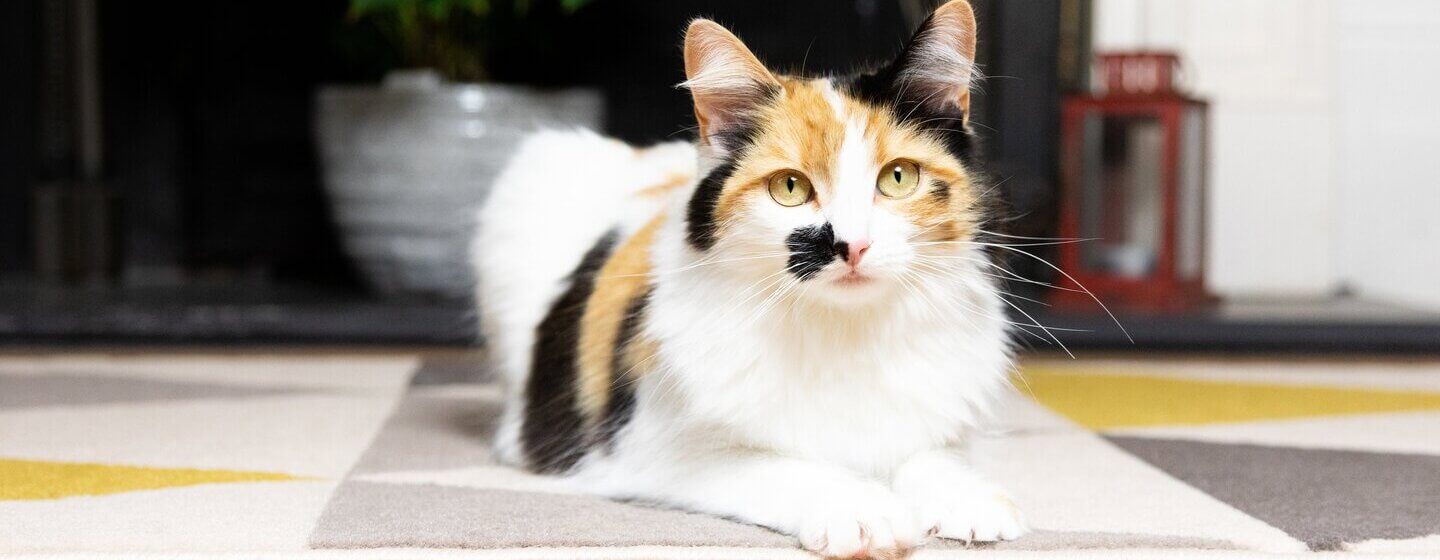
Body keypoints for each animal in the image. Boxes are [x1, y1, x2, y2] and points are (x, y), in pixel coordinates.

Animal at [475, 3, 1025, 552]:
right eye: (790, 187)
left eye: (898, 177)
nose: (853, 245)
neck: (844, 332)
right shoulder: (653, 454)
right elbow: (786, 467)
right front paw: (862, 509)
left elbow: (929, 453)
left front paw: (967, 498)